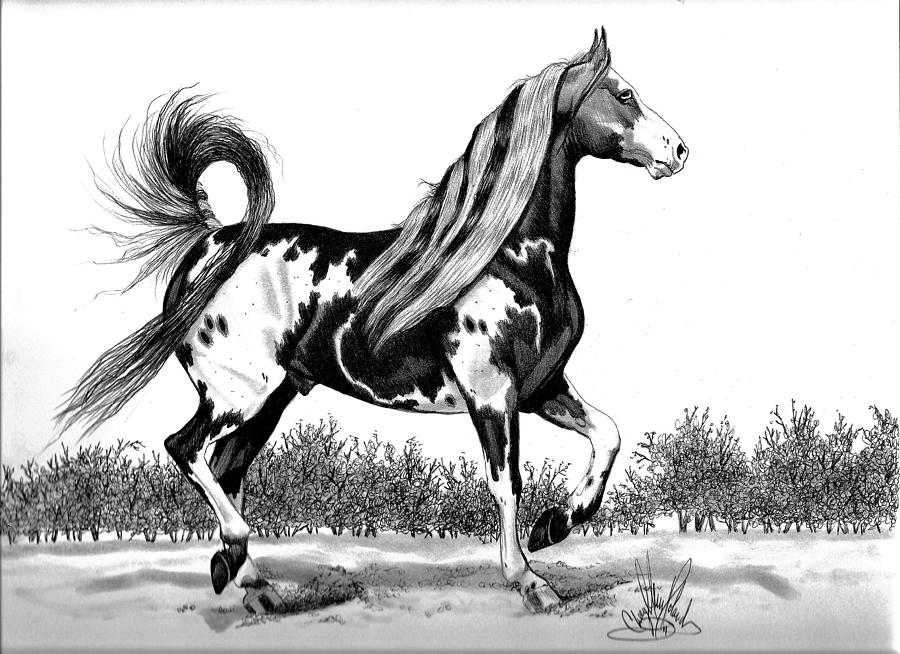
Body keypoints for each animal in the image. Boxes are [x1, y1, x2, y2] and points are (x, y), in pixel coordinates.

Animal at [56, 28, 687, 614]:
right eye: (625, 94)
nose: (678, 150)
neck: (509, 258)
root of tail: (213, 245)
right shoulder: (493, 396)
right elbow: (506, 482)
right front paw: (529, 581)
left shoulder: (540, 387)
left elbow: (607, 434)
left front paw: (555, 524)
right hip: (238, 394)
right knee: (185, 450)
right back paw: (242, 562)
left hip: (269, 401)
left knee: (224, 468)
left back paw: (250, 582)